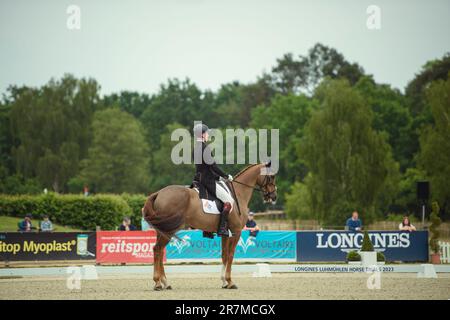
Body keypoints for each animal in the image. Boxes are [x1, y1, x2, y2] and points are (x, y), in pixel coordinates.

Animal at [143, 162, 278, 290]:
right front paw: (230, 282)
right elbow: (230, 255)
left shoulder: (225, 234)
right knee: (158, 250)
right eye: (271, 176)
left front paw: (224, 282)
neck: (239, 192)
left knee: (159, 251)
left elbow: (224, 255)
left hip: (163, 231)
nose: (273, 196)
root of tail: (159, 193)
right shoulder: (236, 231)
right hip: (170, 229)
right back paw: (158, 283)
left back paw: (165, 283)